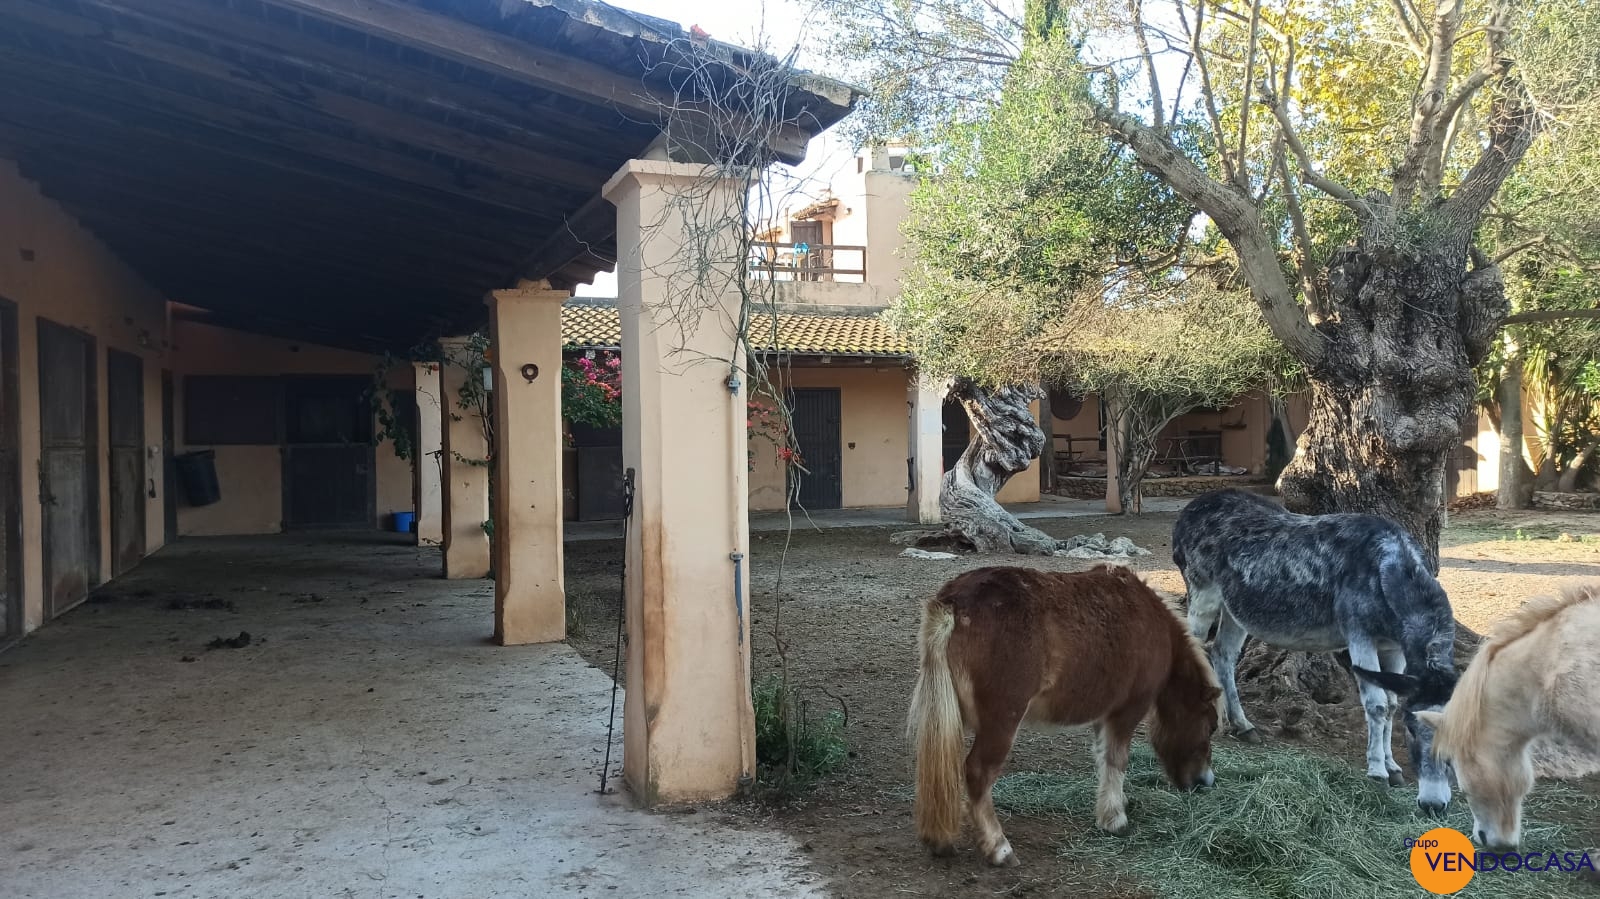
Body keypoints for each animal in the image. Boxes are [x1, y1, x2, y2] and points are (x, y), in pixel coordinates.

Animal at [908, 563, 1216, 863]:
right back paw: (999, 848)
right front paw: (1115, 819)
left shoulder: (1104, 715)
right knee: (978, 773)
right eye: (1210, 726)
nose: (1205, 782)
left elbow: (1103, 758)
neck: (1154, 622)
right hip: (1001, 723)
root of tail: (953, 603)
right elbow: (1117, 759)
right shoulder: (1127, 711)